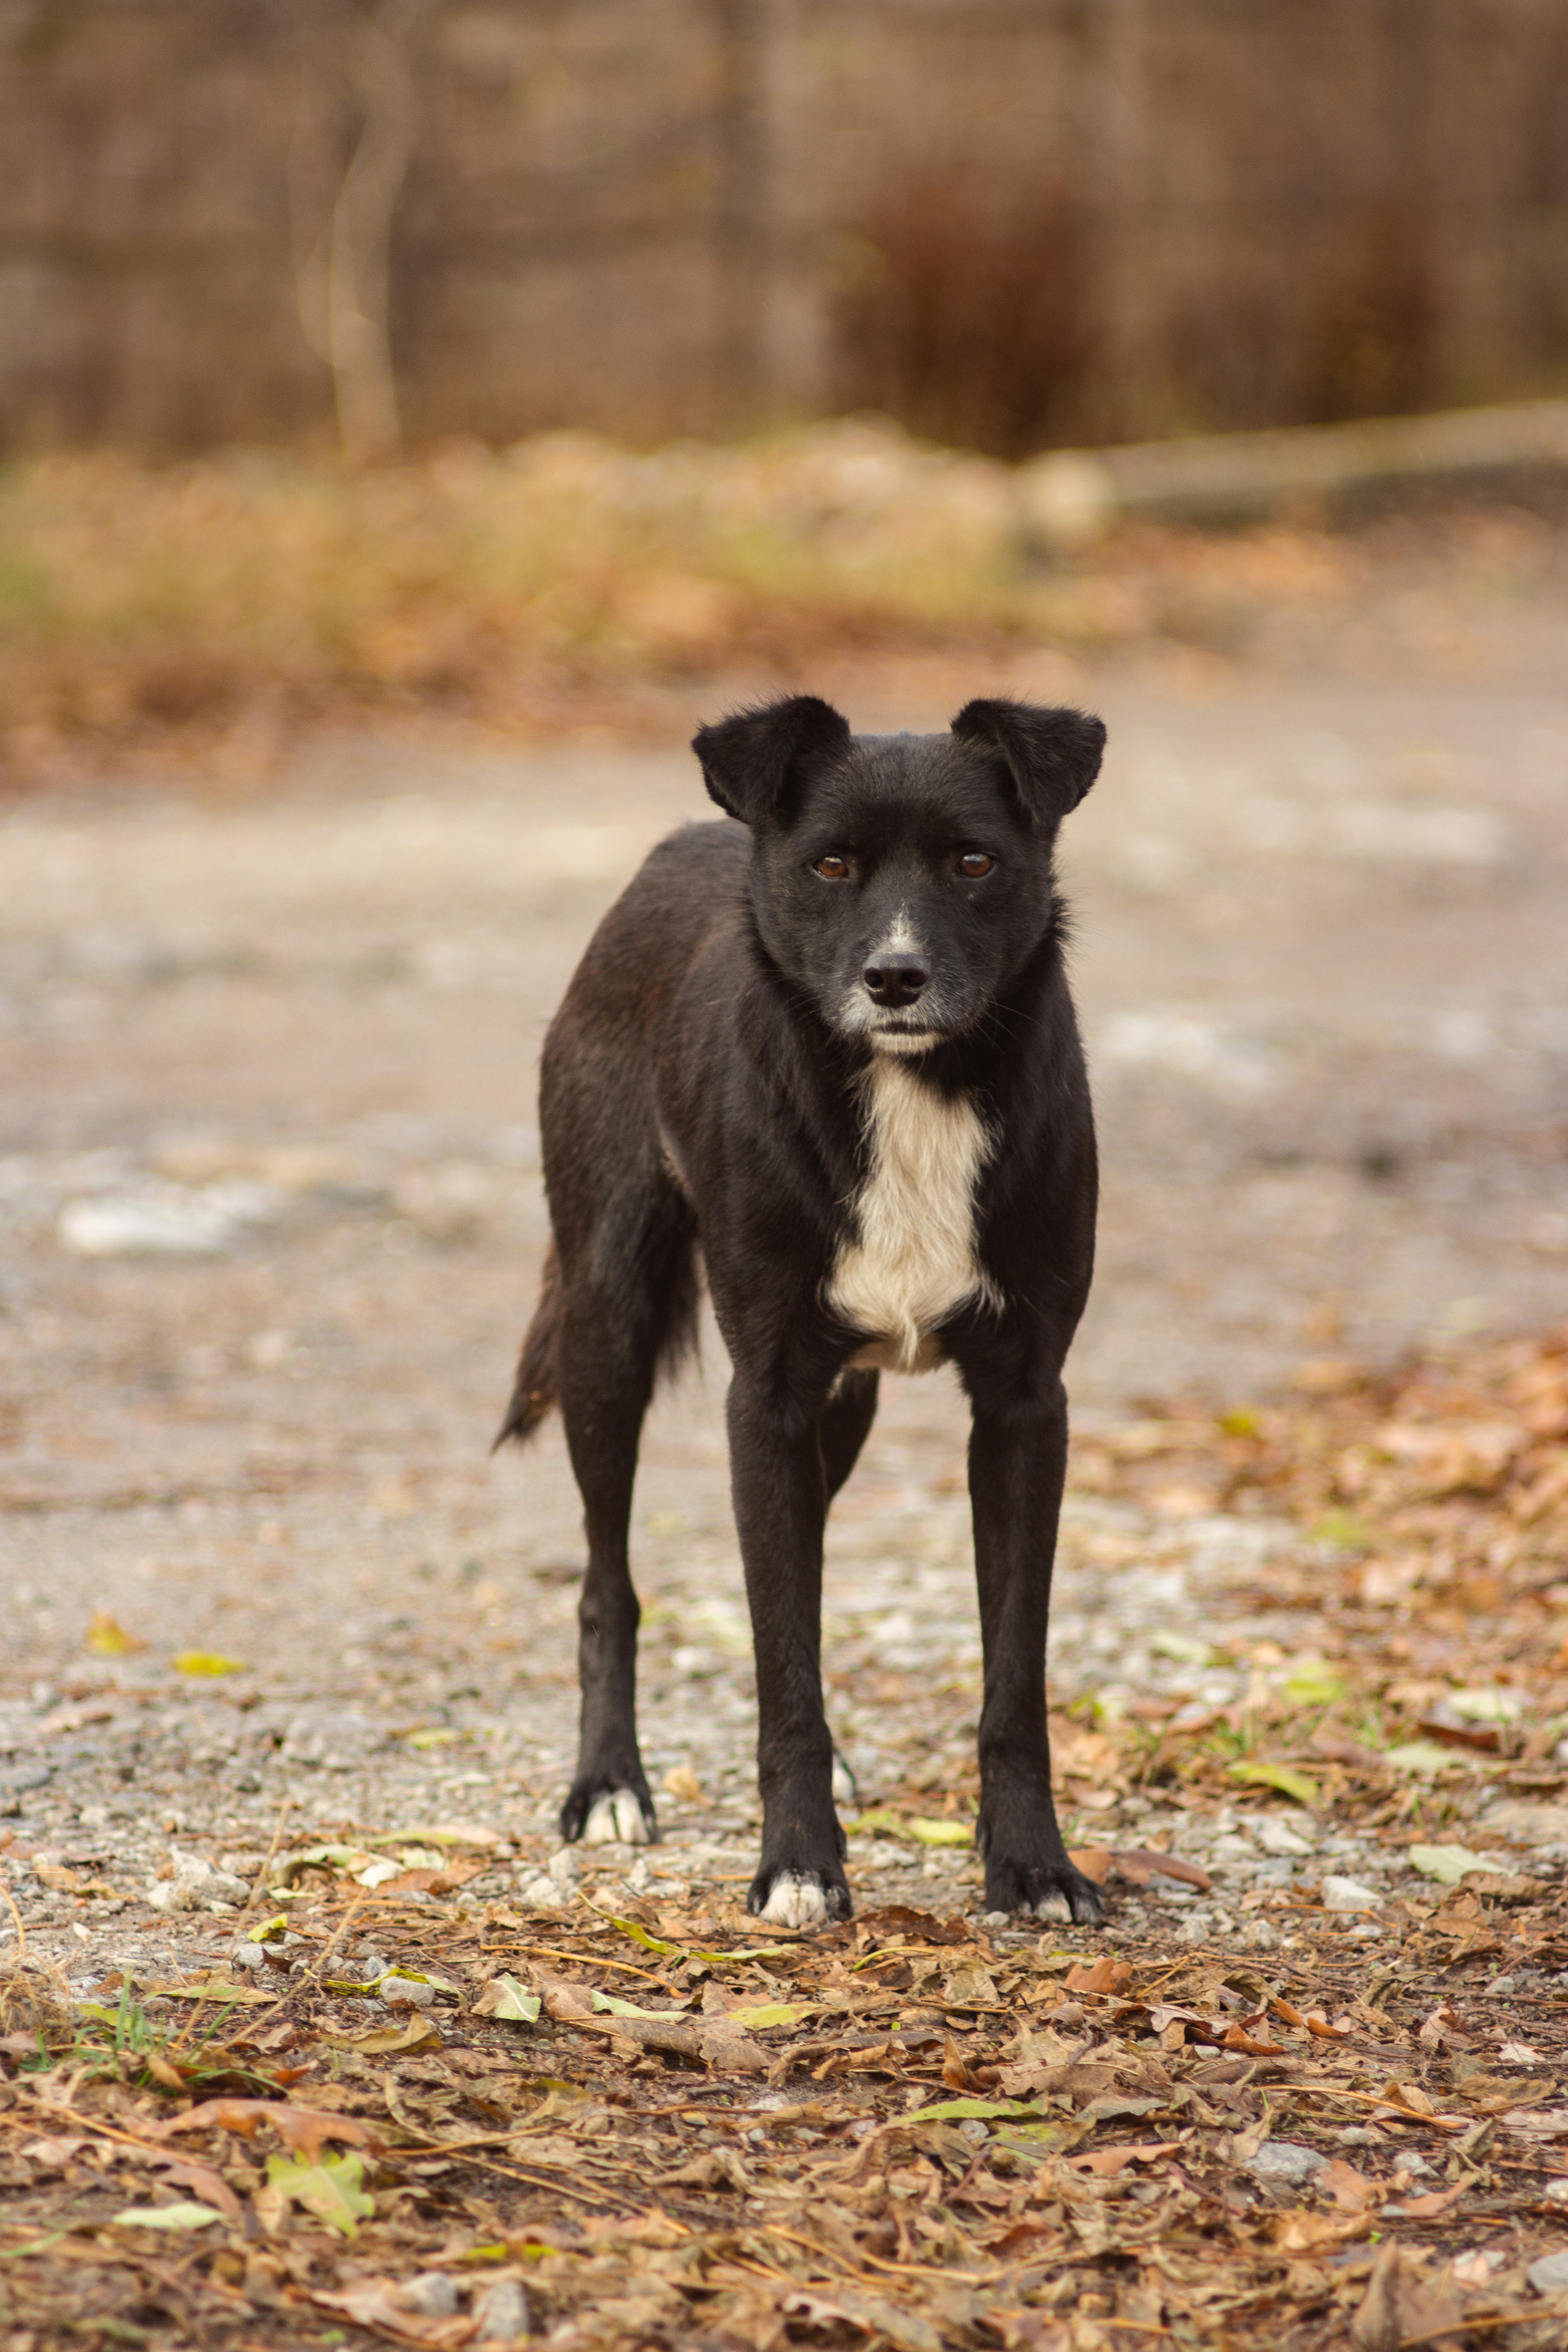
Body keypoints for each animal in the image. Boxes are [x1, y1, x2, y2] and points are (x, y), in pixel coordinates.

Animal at [501, 696, 1105, 1929]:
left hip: (845, 1405)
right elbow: (784, 1661)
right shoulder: (764, 1399)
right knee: (606, 1584)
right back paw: (609, 1786)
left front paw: (1032, 1865)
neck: (909, 1092)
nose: (896, 977)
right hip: (606, 1321)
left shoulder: (1025, 1406)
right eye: (831, 865)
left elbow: (1011, 1674)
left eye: (975, 862)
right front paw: (796, 1862)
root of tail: (682, 841)